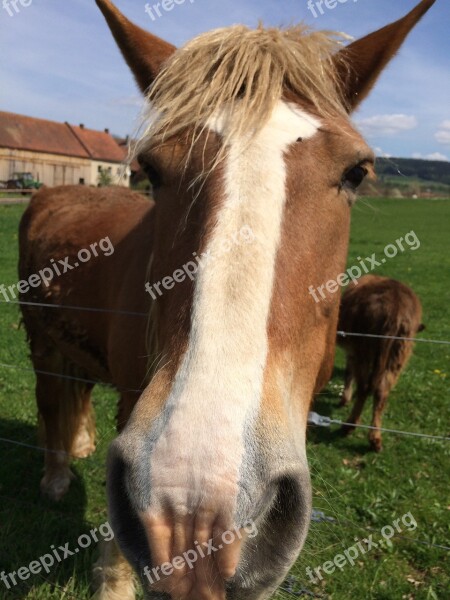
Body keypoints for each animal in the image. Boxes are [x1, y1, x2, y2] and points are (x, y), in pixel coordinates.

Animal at [340, 276, 424, 450]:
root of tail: (395, 310)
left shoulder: (352, 351)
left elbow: (348, 373)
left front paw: (345, 398)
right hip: (397, 356)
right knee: (381, 391)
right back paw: (375, 439)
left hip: (364, 351)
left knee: (365, 387)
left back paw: (349, 426)